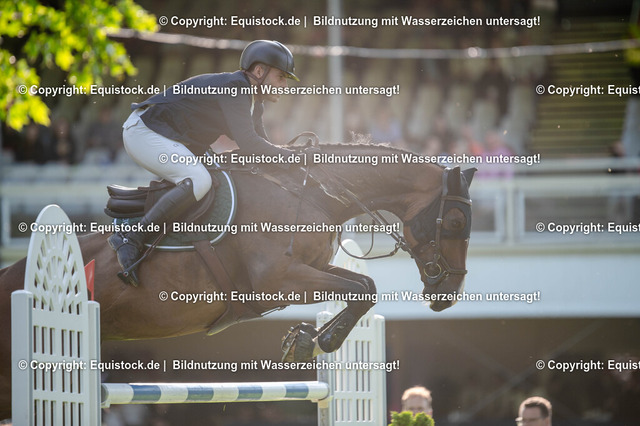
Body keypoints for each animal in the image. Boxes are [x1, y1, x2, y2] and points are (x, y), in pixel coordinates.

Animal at [0, 143, 476, 419]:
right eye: (454, 221)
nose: (446, 296)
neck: (314, 193)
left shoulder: (307, 271)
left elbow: (364, 289)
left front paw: (304, 338)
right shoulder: (277, 281)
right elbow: (361, 290)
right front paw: (316, 341)